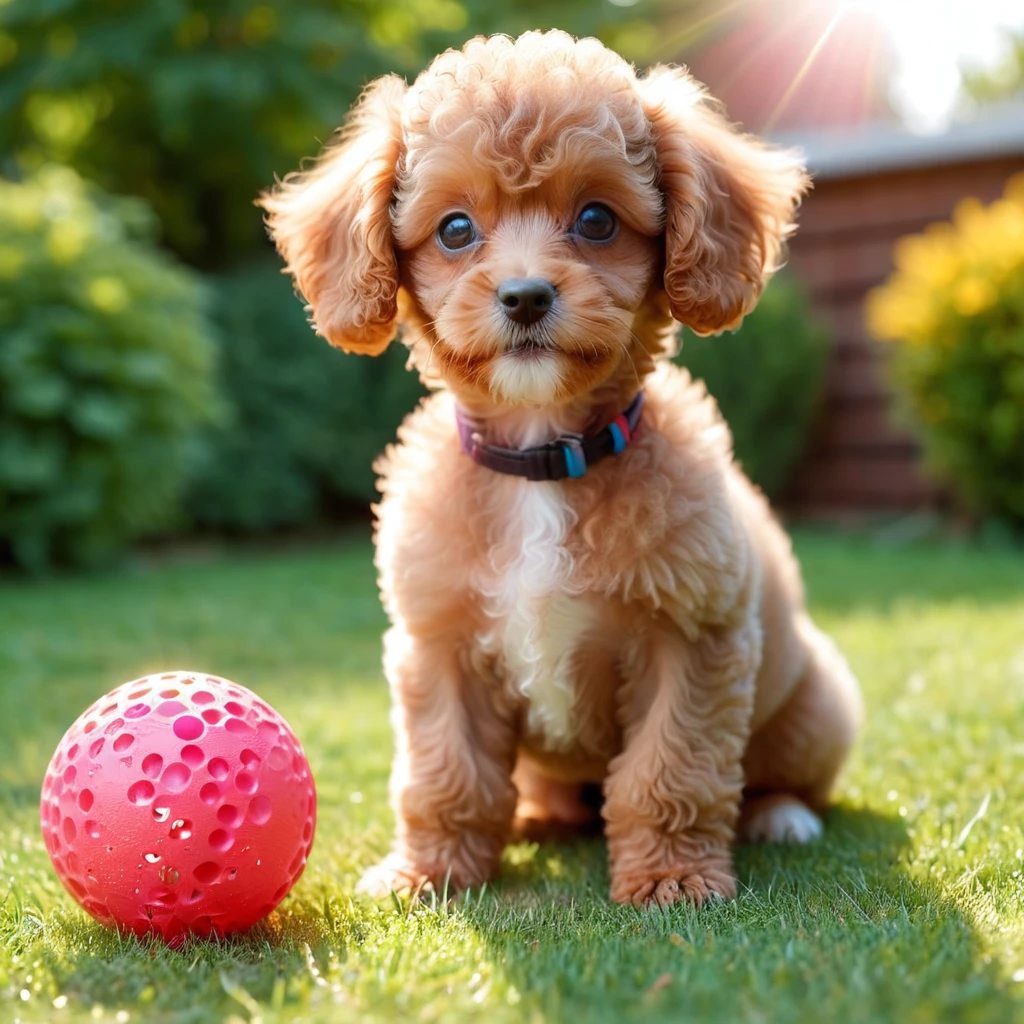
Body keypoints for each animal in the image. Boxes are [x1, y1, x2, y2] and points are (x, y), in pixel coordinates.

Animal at [262, 32, 864, 909]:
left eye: (596, 219)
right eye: (454, 229)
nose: (523, 296)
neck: (540, 464)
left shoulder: (692, 640)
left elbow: (669, 769)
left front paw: (673, 877)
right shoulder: (438, 645)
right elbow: (445, 773)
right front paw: (429, 871)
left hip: (817, 705)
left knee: (779, 776)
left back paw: (781, 816)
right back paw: (539, 817)